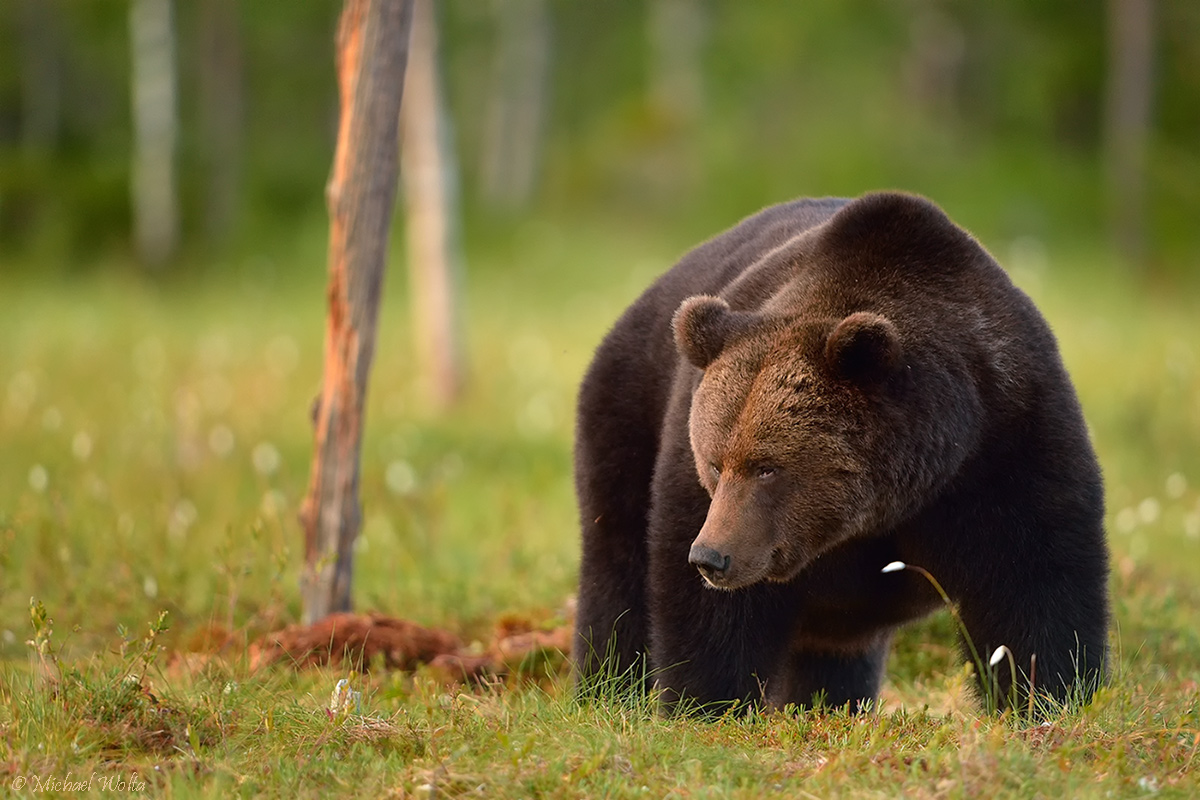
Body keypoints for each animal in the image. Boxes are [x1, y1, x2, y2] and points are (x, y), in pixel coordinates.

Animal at [576, 191, 1108, 714]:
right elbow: (708, 616)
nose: (711, 557)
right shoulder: (697, 491)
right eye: (714, 462)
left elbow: (1034, 585)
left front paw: (1047, 699)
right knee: (617, 569)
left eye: (767, 467)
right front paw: (706, 704)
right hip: (628, 413)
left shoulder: (1008, 439)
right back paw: (606, 690)